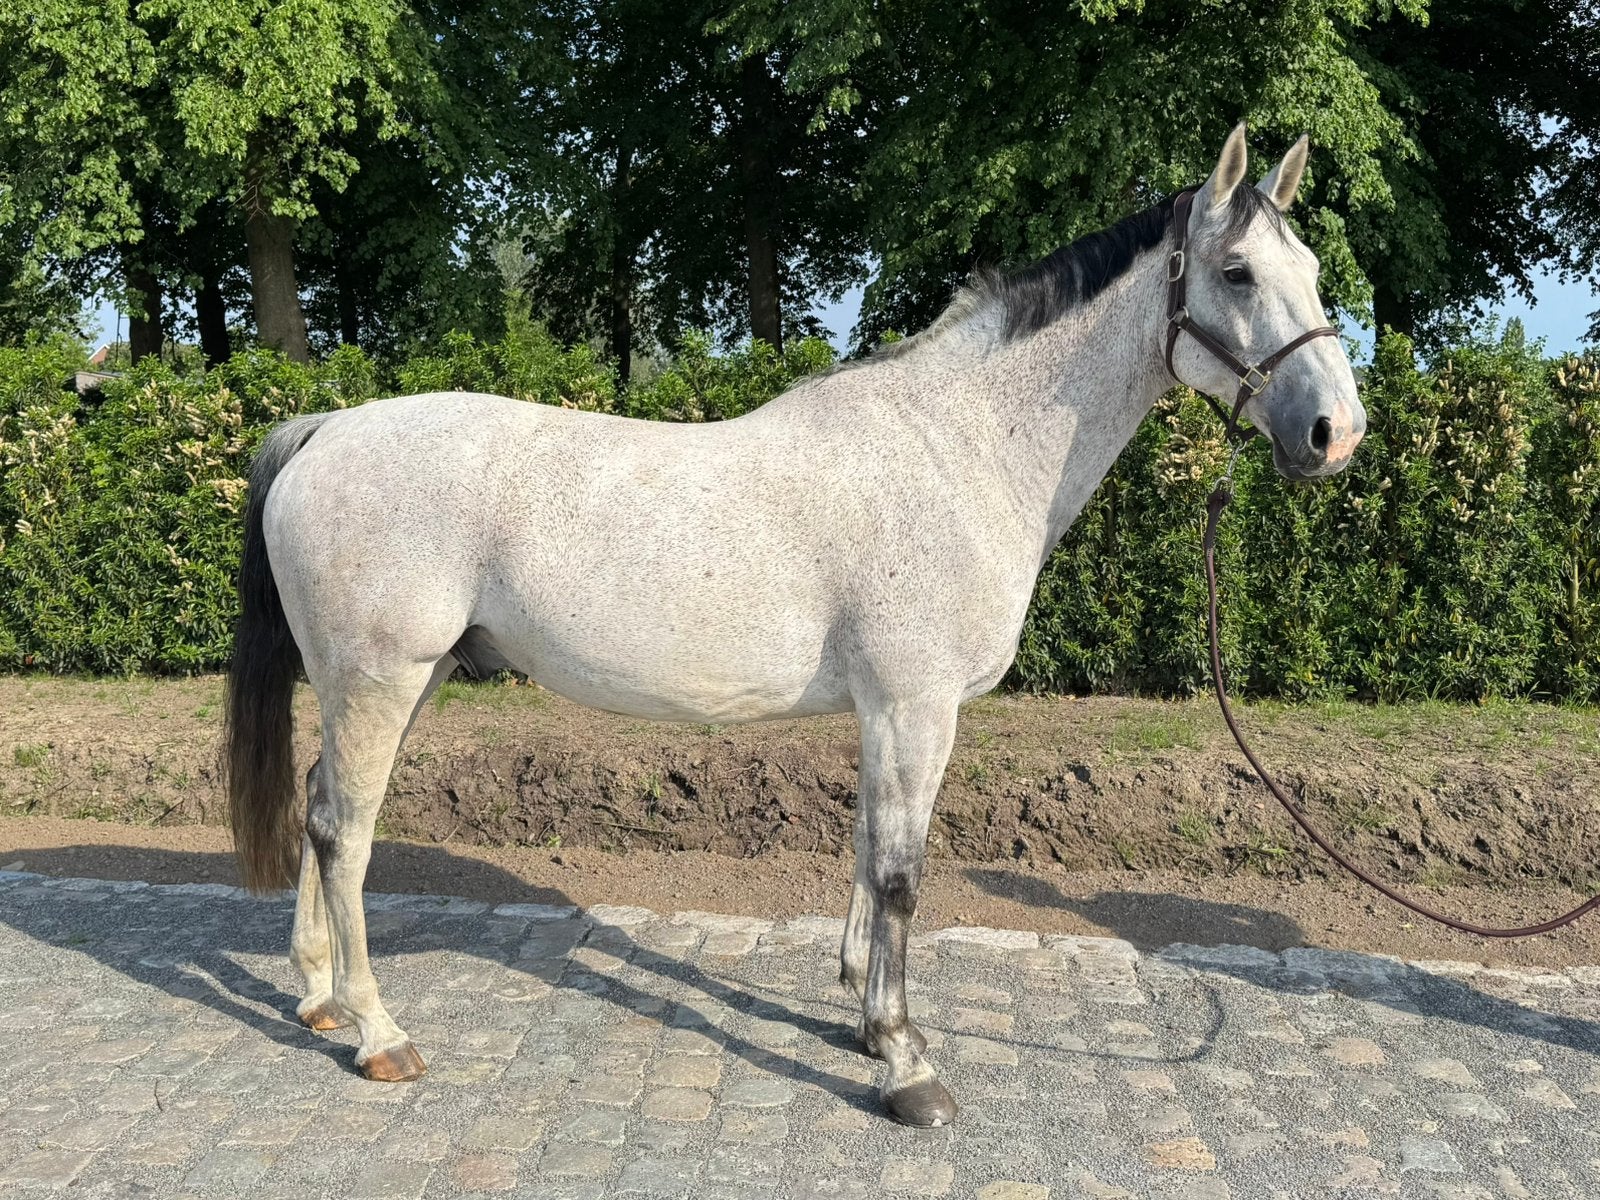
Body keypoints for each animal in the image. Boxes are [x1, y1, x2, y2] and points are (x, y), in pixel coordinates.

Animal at [225, 124, 1365, 1127]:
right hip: (381, 680)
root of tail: (326, 427)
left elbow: (867, 848)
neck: (958, 448)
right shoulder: (915, 706)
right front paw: (906, 1067)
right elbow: (901, 874)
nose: (1335, 433)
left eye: (1310, 267)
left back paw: (318, 998)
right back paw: (378, 1034)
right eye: (1236, 272)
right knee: (344, 831)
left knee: (323, 810)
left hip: (394, 683)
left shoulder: (883, 711)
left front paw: (866, 1020)